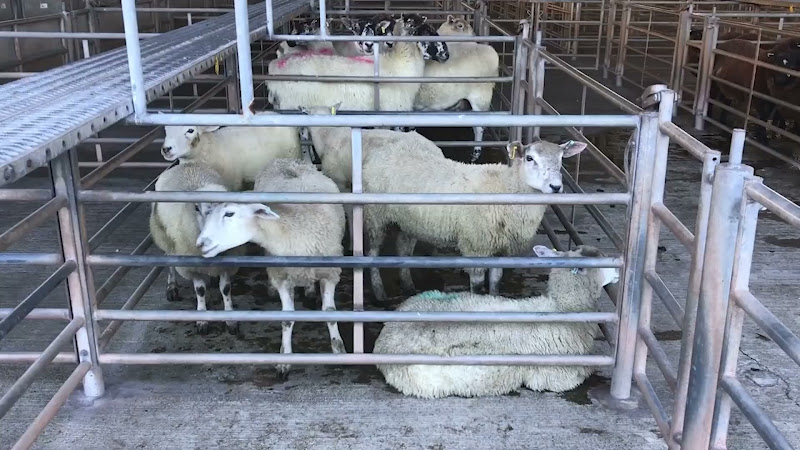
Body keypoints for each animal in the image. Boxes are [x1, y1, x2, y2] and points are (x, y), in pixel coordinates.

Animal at [149, 161, 244, 334]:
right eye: (197, 208)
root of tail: (187, 165)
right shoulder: (192, 265)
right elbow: (200, 290)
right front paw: (202, 319)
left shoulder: (227, 262)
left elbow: (226, 289)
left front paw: (230, 319)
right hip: (166, 238)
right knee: (170, 262)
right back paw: (172, 287)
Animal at [195, 158, 347, 378]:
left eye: (229, 213)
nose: (200, 244)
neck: (293, 230)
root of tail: (285, 160)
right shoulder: (281, 276)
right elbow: (286, 319)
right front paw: (284, 359)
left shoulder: (330, 274)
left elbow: (330, 313)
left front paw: (338, 349)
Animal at [365, 138, 587, 304]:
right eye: (530, 158)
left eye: (561, 159)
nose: (555, 187)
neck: (506, 188)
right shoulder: (476, 246)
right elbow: (478, 285)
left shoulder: (500, 249)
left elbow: (496, 281)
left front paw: (494, 300)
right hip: (374, 216)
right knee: (373, 252)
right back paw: (379, 292)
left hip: (409, 220)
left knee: (403, 247)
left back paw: (408, 285)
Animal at [414, 17, 498, 162]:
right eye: (460, 25)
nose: (474, 33)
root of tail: (489, 49)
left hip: (481, 97)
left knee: (479, 127)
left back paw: (476, 154)